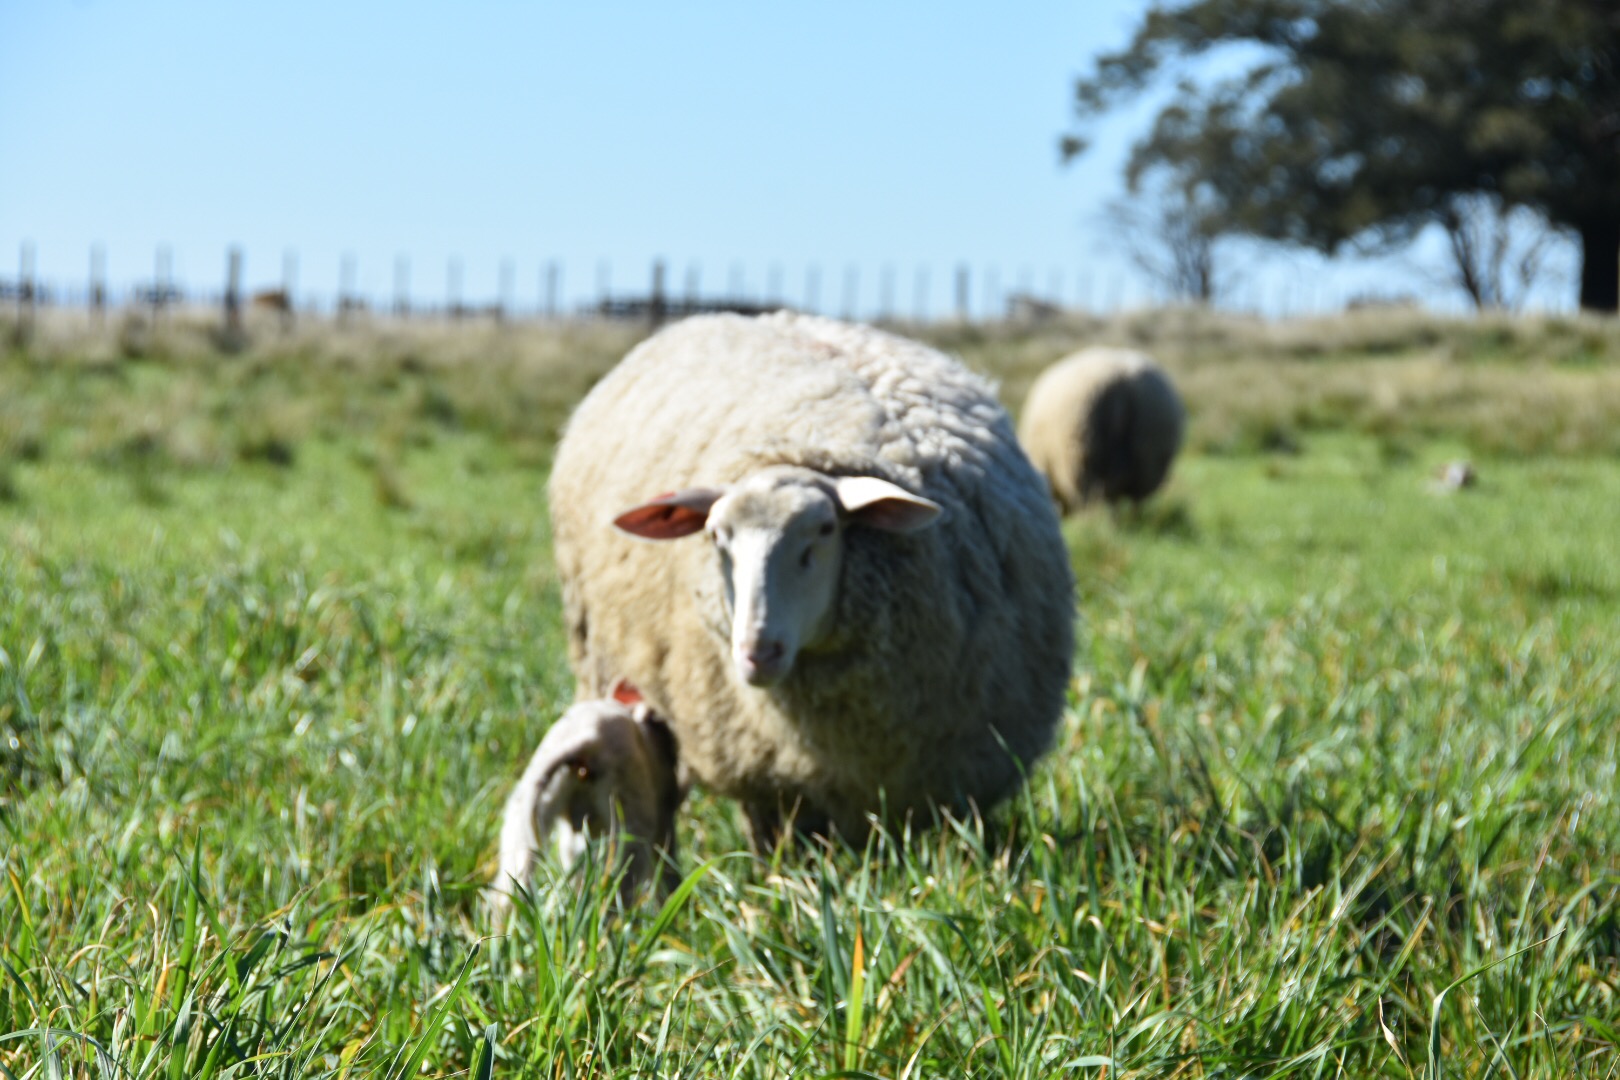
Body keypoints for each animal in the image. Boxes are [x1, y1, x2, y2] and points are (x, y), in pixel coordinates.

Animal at [492, 682, 682, 912]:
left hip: (534, 790)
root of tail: (588, 738)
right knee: (626, 866)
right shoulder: (663, 804)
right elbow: (666, 854)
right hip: (626, 794)